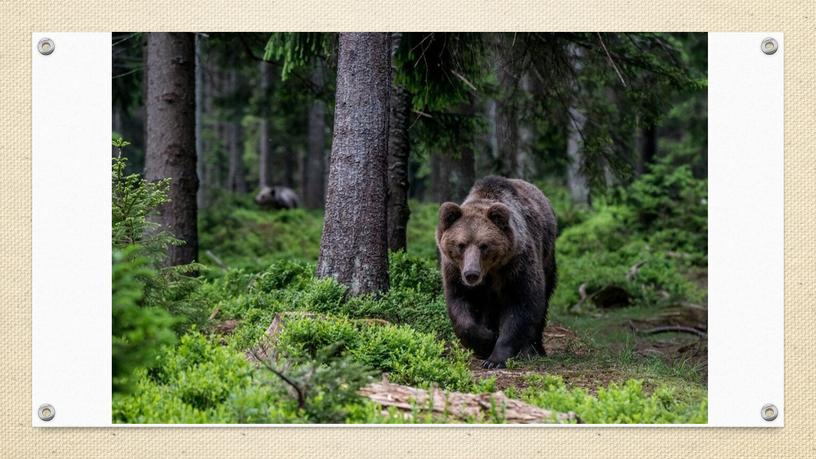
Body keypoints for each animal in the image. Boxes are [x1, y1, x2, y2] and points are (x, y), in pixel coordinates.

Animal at [436, 176, 556, 370]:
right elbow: (460, 306)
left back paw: (534, 349)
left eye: (484, 245)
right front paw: (485, 341)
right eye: (461, 245)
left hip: (547, 256)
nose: (471, 274)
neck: (490, 272)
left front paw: (495, 359)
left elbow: (521, 305)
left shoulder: (516, 266)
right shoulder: (455, 272)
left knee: (544, 300)